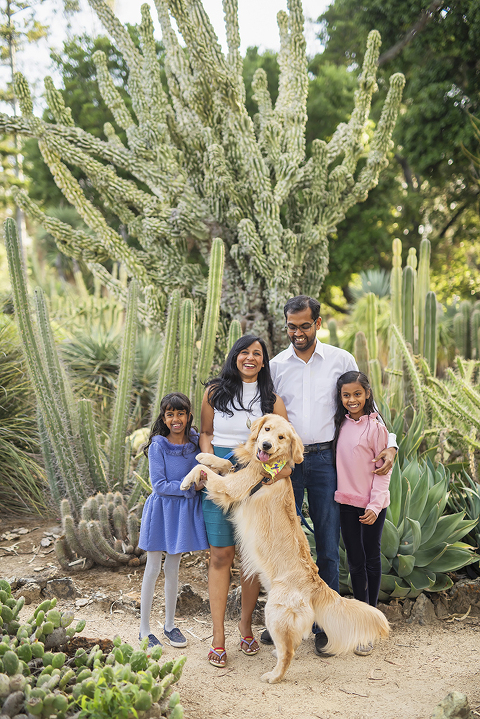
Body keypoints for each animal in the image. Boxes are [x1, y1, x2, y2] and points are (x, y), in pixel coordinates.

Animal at [180, 414, 390, 684]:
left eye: (281, 437)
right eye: (267, 429)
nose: (266, 445)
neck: (266, 469)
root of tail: (316, 583)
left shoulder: (231, 489)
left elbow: (205, 472)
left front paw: (188, 479)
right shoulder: (239, 474)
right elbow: (225, 463)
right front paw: (207, 456)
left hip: (274, 612)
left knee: (289, 652)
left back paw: (273, 675)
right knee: (292, 645)